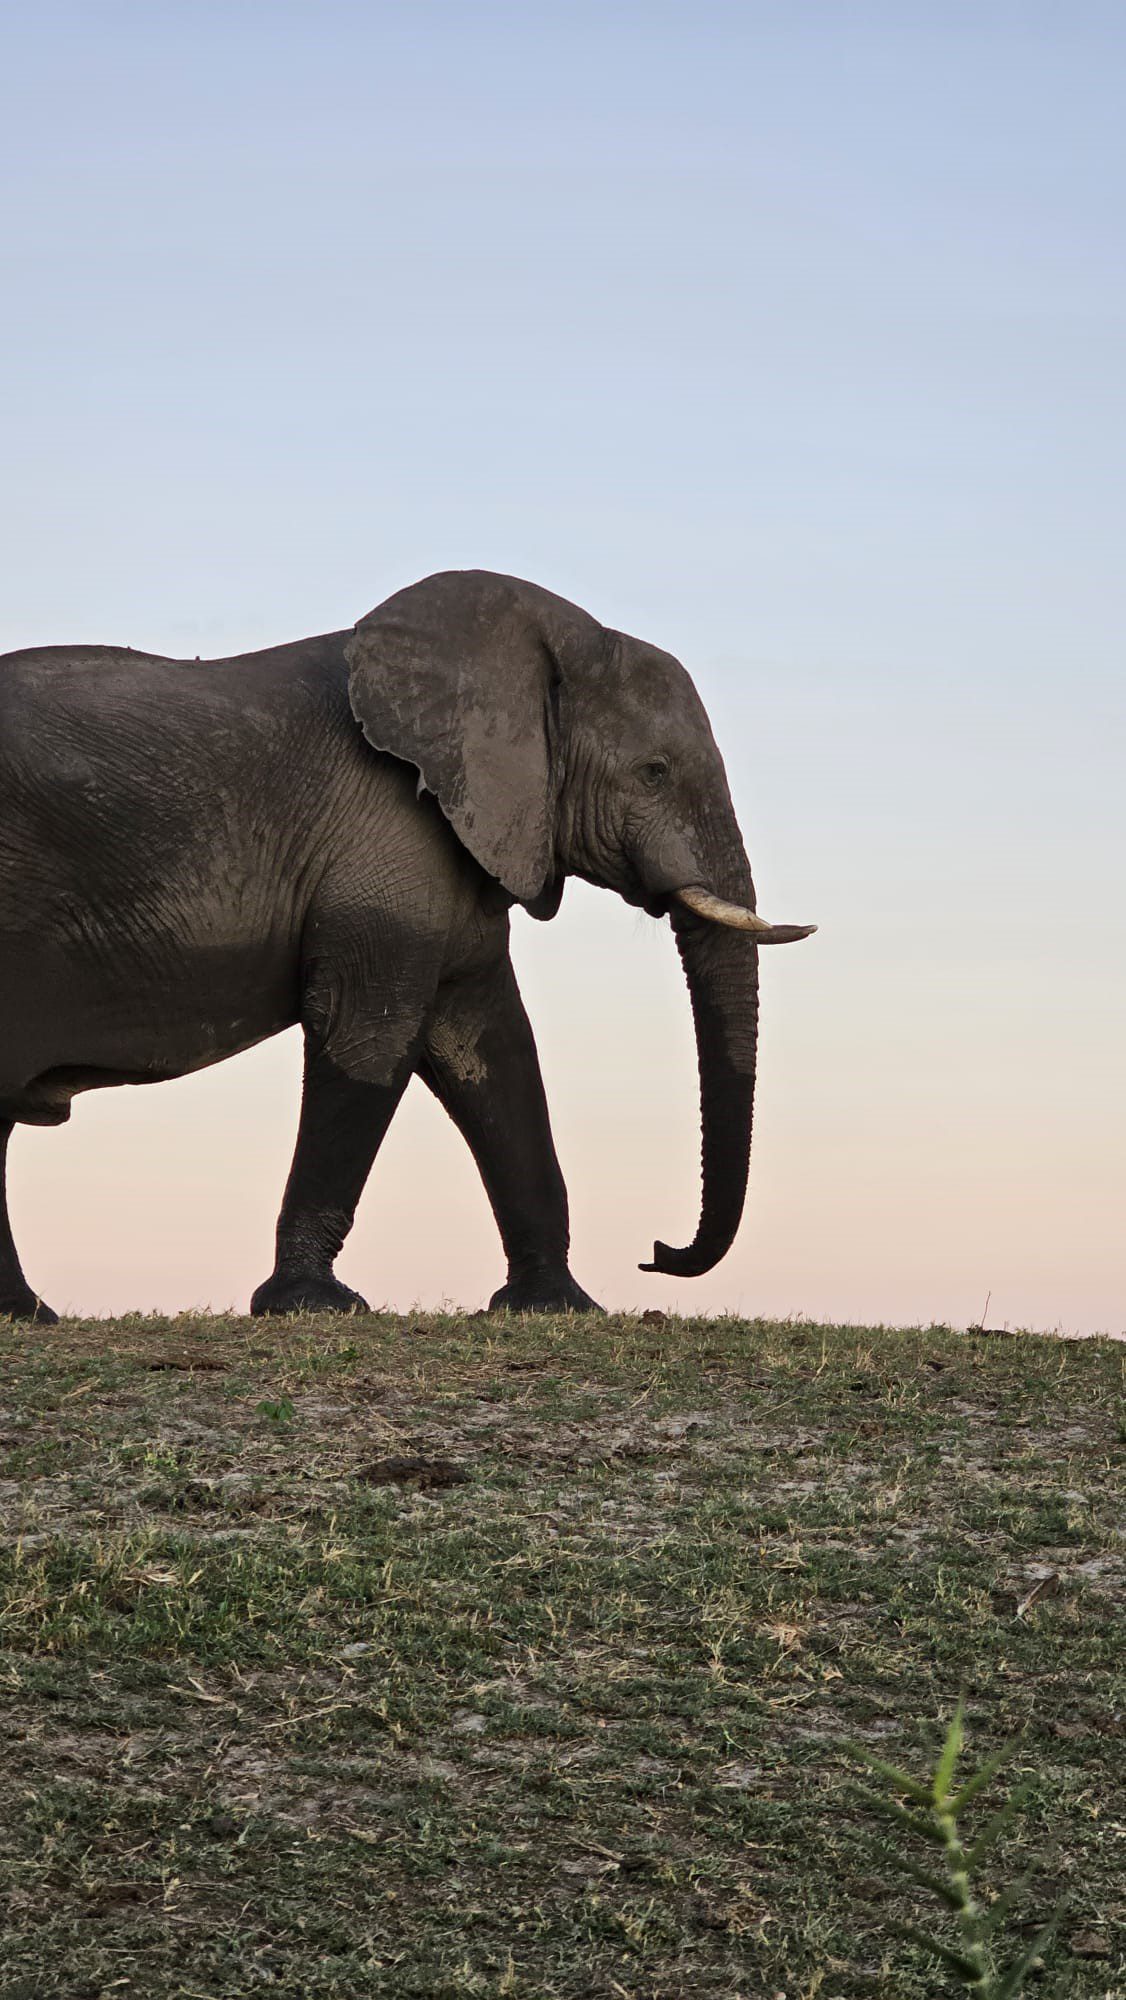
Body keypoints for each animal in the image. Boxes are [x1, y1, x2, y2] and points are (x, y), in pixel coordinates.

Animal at [0, 576, 816, 1328]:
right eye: (654, 772)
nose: (656, 1252)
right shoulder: (386, 838)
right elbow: (370, 1035)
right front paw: (313, 1307)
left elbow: (494, 1054)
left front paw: (554, 1308)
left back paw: (26, 1314)